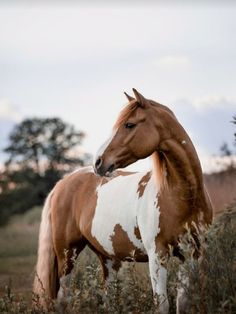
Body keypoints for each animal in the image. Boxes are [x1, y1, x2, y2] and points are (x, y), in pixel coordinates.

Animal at [32, 89, 212, 314]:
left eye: (129, 124)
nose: (98, 162)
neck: (181, 197)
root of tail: (62, 184)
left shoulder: (193, 253)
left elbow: (183, 302)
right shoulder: (157, 255)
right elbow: (162, 305)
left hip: (108, 258)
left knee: (107, 298)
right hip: (67, 255)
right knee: (63, 299)